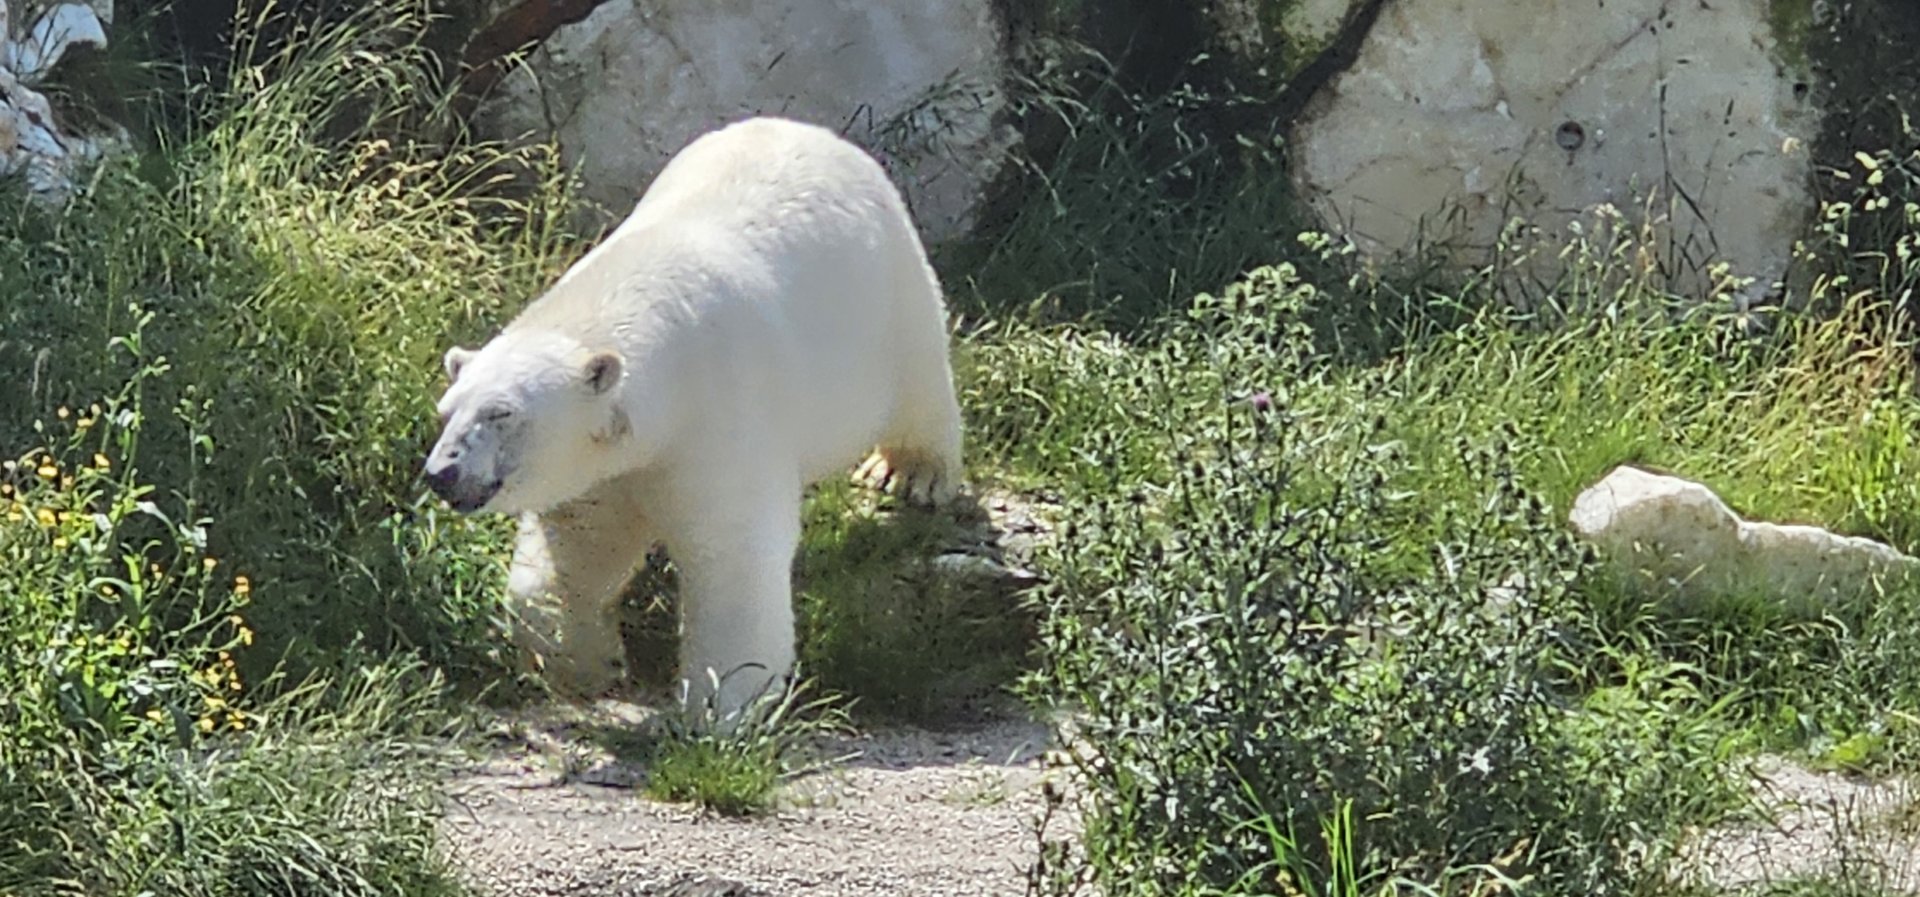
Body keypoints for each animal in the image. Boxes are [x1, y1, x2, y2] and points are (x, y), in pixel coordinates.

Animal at [422, 116, 965, 723]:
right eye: (446, 411)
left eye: (502, 412)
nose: (441, 473)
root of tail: (811, 130)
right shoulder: (606, 469)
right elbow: (581, 548)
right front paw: (584, 666)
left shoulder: (719, 412)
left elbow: (732, 556)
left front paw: (721, 707)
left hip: (887, 296)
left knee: (920, 382)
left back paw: (910, 472)